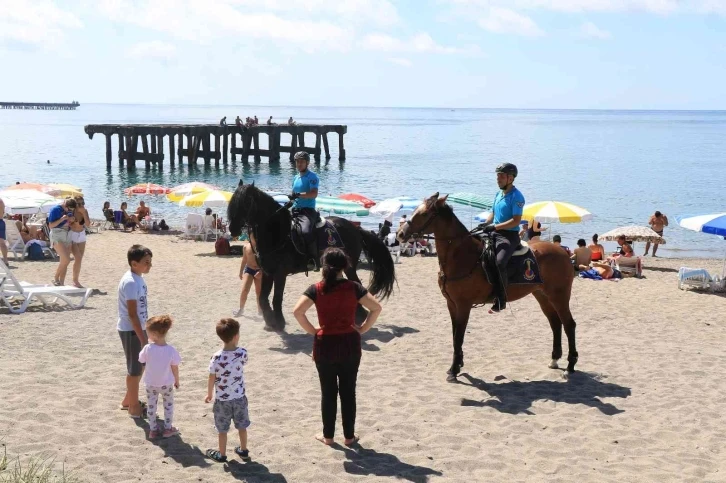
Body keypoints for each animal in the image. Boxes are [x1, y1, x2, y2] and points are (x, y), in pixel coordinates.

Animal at [228, 182, 398, 332]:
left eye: (246, 202)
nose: (233, 229)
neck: (278, 233)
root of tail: (356, 229)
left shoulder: (280, 274)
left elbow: (276, 298)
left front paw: (279, 323)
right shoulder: (267, 272)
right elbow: (263, 298)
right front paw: (270, 323)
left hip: (349, 267)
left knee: (357, 284)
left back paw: (359, 316)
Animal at [398, 193, 580, 382]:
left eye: (424, 213)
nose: (400, 233)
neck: (462, 256)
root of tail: (563, 253)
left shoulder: (463, 305)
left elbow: (459, 337)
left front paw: (454, 369)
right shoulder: (451, 304)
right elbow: (455, 335)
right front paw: (457, 364)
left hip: (559, 296)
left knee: (569, 325)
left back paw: (570, 366)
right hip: (542, 295)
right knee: (555, 323)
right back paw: (554, 359)